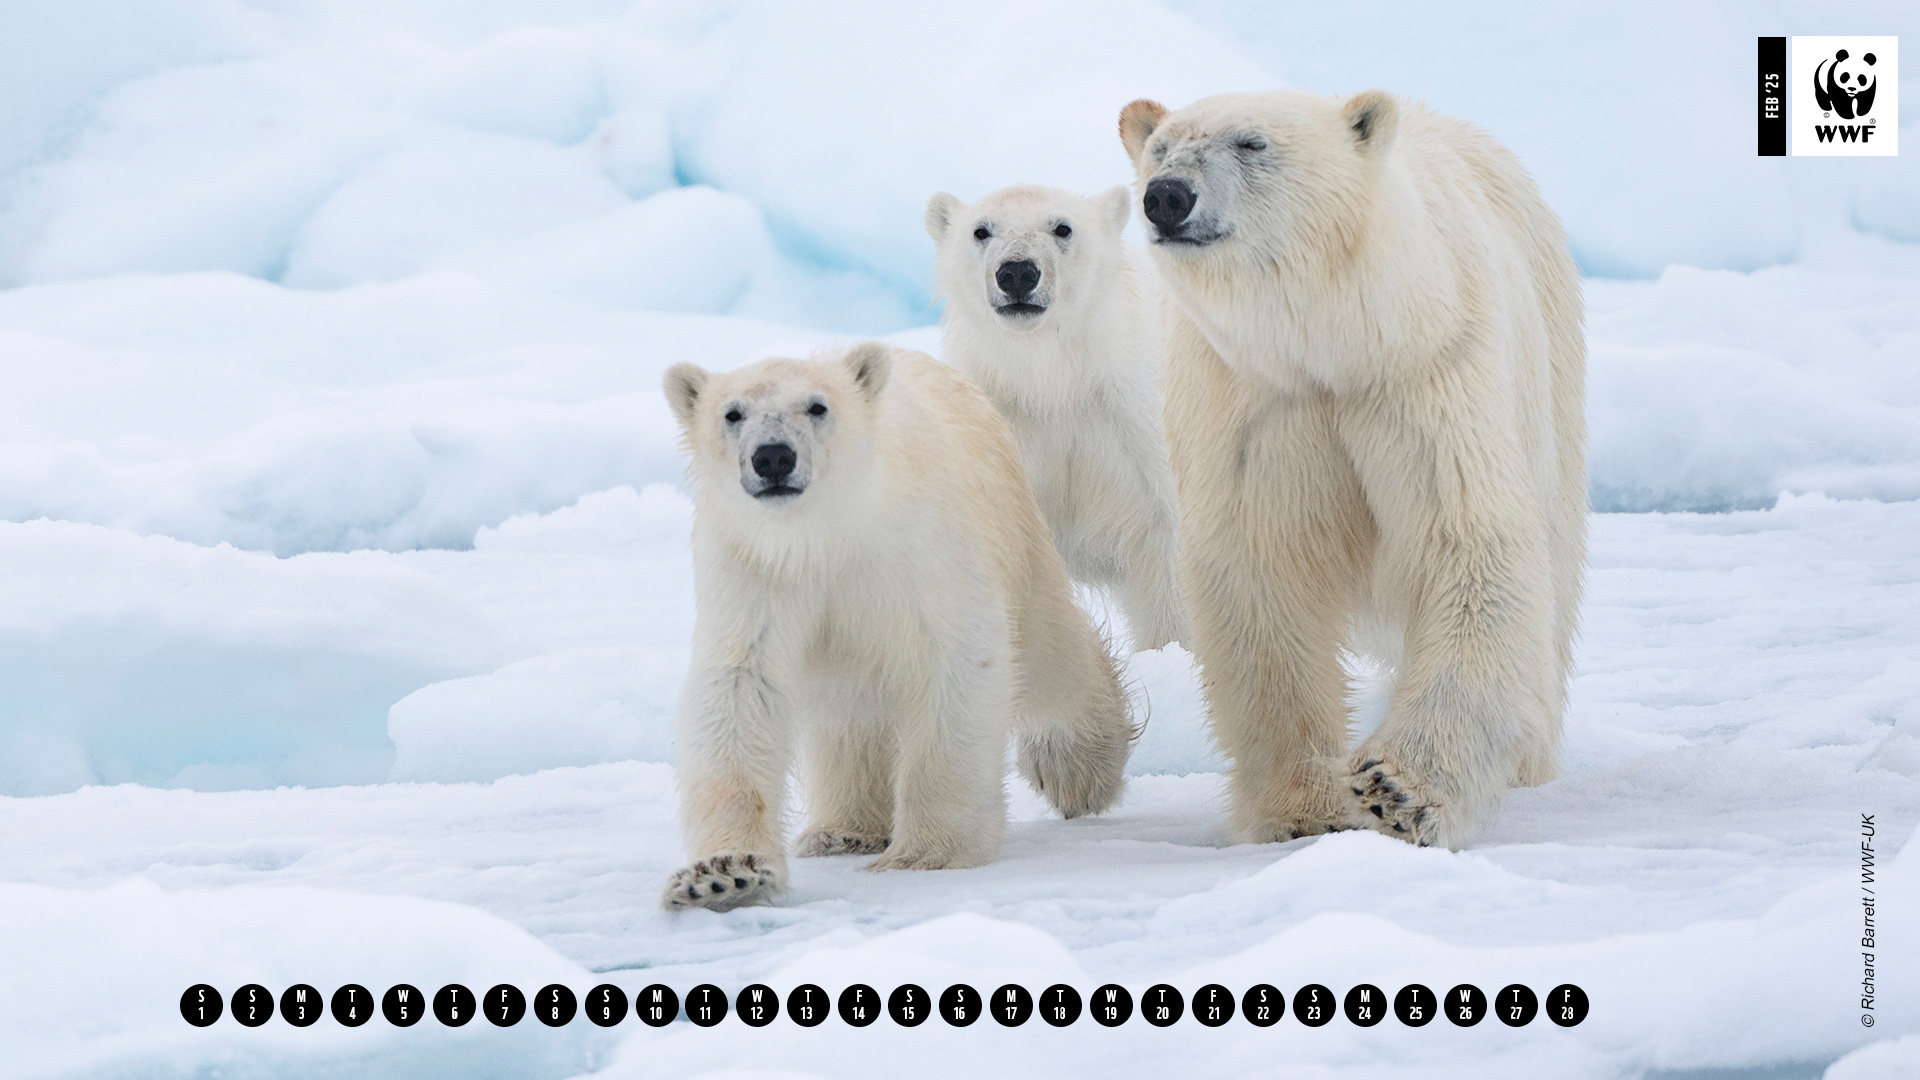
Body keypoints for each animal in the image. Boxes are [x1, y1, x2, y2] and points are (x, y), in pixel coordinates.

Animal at [660, 338, 1136, 907]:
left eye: (817, 406)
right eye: (732, 413)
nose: (773, 456)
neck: (825, 535)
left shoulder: (920, 550)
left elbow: (957, 660)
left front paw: (927, 853)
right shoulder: (756, 571)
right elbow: (738, 690)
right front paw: (723, 875)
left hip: (1014, 524)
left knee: (1047, 650)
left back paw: (1078, 769)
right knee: (849, 713)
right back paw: (843, 830)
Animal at [1121, 90, 1582, 849]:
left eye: (1251, 143)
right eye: (1160, 149)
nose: (1167, 196)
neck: (1337, 343)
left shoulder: (1427, 375)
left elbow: (1469, 547)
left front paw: (1397, 790)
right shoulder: (1252, 406)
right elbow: (1262, 576)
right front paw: (1302, 807)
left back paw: (1530, 756)